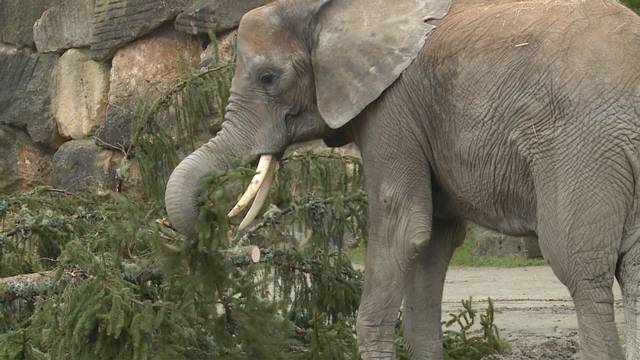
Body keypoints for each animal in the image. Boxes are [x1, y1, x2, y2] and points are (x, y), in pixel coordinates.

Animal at [165, 0, 640, 358]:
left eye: (269, 77)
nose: (241, 243)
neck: (327, 10)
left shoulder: (392, 107)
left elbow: (402, 226)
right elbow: (431, 243)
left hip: (580, 148)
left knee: (581, 268)